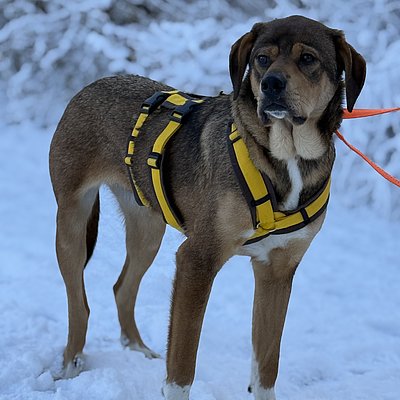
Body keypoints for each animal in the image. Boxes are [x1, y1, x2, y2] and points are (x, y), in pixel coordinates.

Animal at [49, 15, 366, 400]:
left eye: (308, 59)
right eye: (262, 59)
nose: (272, 84)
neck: (285, 156)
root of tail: (90, 86)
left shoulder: (277, 271)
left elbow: (266, 365)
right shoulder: (197, 260)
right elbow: (182, 367)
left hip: (147, 230)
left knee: (122, 287)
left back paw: (138, 350)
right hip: (72, 220)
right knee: (78, 303)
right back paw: (70, 365)